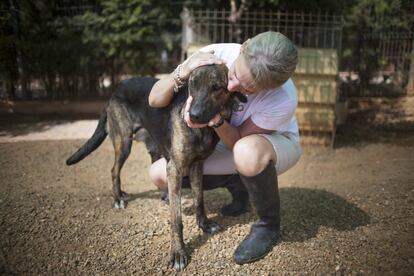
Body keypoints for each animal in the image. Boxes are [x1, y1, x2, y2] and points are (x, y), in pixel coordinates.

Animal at [65, 64, 246, 270]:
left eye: (216, 87)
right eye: (192, 85)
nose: (193, 115)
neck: (203, 130)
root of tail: (116, 89)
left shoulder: (197, 166)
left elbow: (199, 200)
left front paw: (205, 224)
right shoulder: (175, 168)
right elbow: (176, 219)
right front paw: (178, 252)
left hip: (154, 146)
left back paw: (158, 195)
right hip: (124, 142)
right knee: (114, 170)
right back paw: (118, 198)